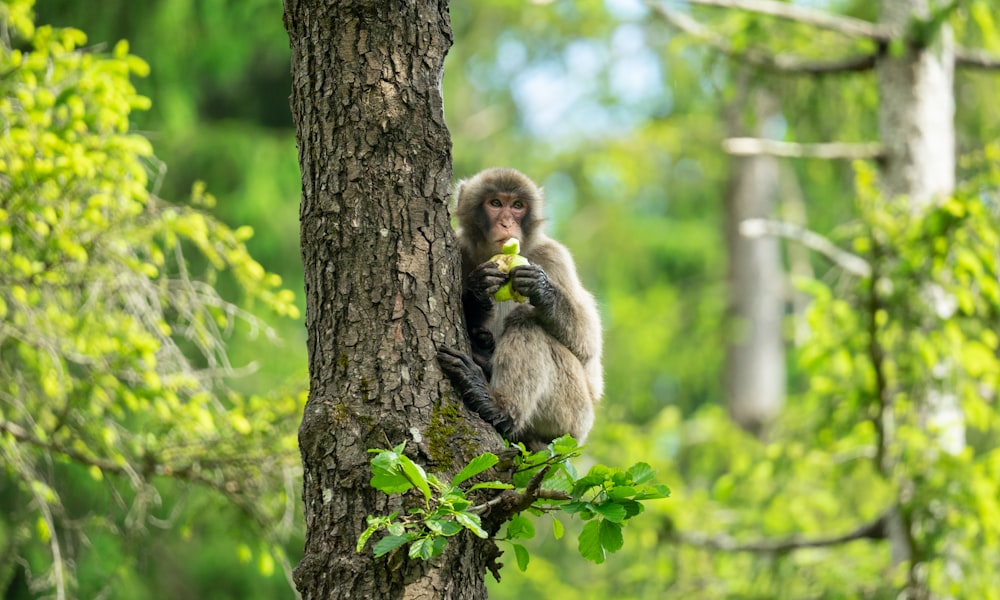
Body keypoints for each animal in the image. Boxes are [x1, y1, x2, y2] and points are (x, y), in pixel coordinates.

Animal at [438, 166, 600, 448]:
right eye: (495, 203)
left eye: (517, 206)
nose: (506, 223)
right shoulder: (460, 250)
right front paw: (477, 290)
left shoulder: (553, 256)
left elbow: (589, 347)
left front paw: (541, 289)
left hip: (574, 416)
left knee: (526, 320)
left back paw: (497, 406)